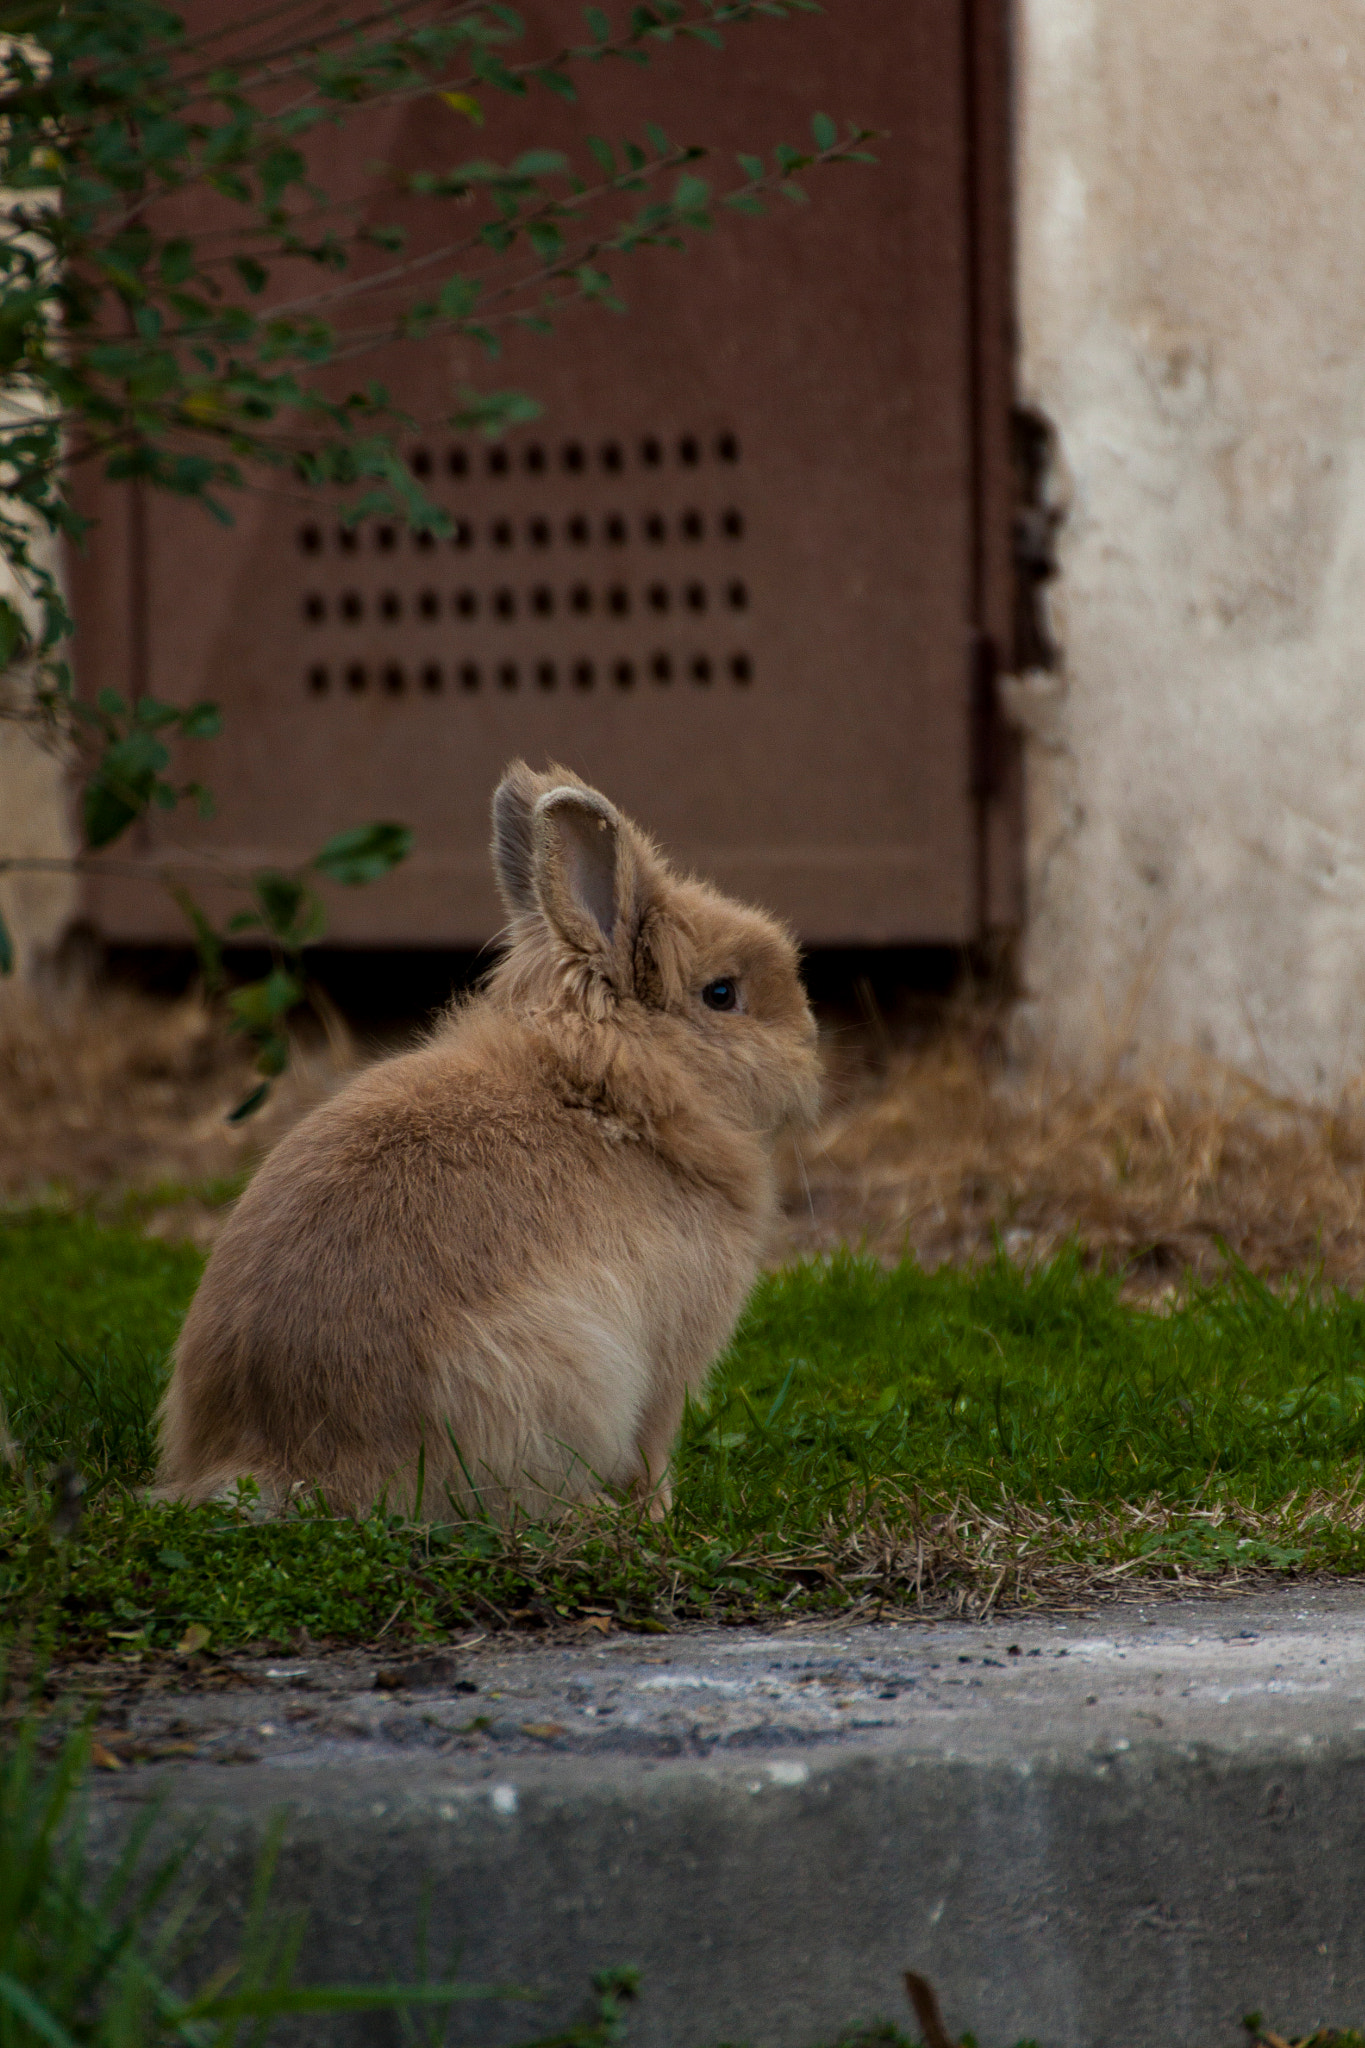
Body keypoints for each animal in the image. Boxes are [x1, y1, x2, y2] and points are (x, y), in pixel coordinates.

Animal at [153, 761, 822, 1521]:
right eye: (721, 994)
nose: (811, 1041)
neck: (608, 1088)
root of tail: (280, 1464)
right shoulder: (668, 1366)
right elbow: (653, 1451)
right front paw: (661, 1515)